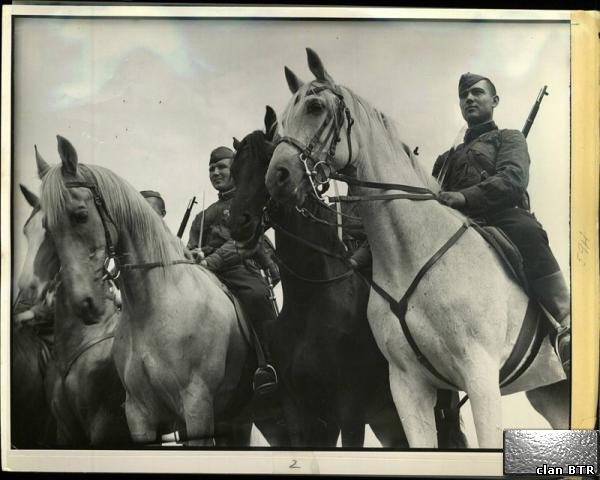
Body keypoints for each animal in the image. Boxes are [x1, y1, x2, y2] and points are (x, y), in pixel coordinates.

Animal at [227, 107, 466, 448]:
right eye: (235, 171)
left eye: (267, 162)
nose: (238, 223)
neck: (311, 301)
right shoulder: (303, 415)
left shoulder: (350, 411)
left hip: (437, 408)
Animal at [264, 47, 568, 448]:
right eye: (280, 123)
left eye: (315, 107)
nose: (276, 177)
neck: (413, 255)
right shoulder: (409, 387)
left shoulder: (480, 376)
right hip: (548, 391)